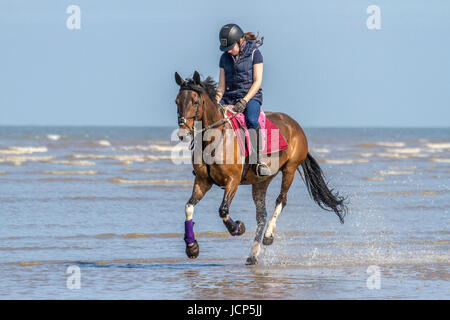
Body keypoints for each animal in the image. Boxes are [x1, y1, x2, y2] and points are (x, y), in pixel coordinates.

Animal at [174, 70, 346, 264]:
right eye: (177, 101)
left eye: (195, 102)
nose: (182, 133)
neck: (214, 139)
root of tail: (294, 124)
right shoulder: (203, 181)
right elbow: (188, 207)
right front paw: (192, 247)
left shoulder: (232, 180)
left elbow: (223, 210)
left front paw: (237, 228)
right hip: (260, 182)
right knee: (261, 216)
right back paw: (253, 255)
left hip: (290, 170)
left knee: (281, 200)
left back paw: (269, 236)